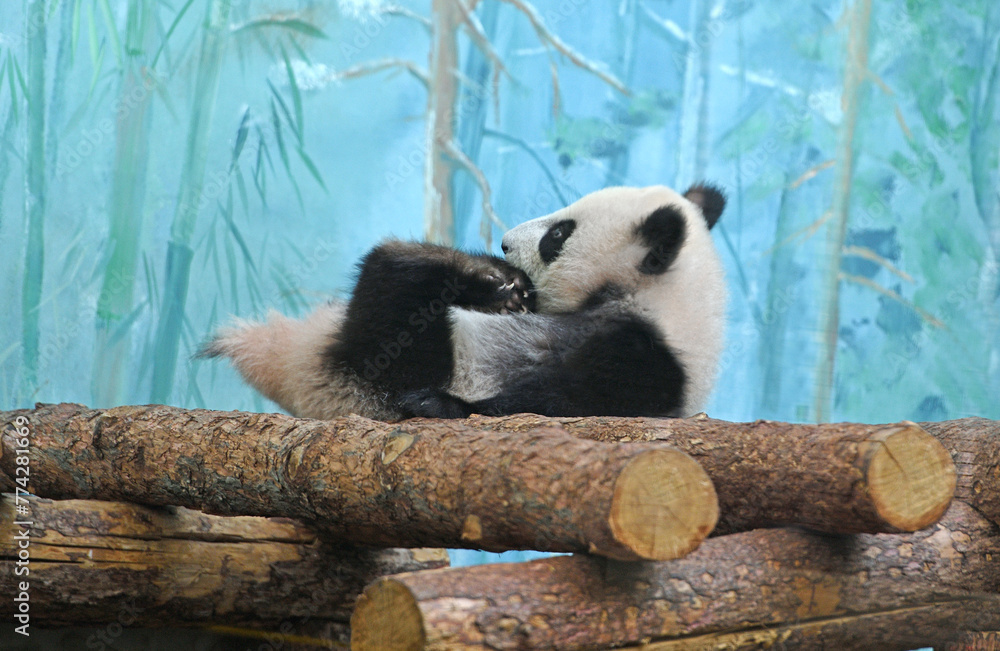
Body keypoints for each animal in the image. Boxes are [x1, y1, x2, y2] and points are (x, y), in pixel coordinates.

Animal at [199, 183, 727, 420]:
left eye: (559, 234)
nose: (506, 244)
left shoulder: (647, 364)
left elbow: (560, 400)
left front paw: (438, 403)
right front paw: (506, 285)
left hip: (381, 365)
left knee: (388, 299)